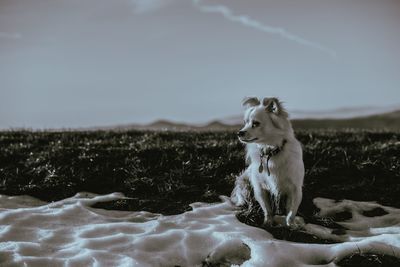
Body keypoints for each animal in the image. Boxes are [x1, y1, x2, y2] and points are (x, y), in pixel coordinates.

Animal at [230, 96, 304, 226]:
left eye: (255, 123)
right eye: (245, 123)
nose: (239, 133)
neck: (270, 151)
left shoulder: (296, 189)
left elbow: (291, 212)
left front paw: (291, 224)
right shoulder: (260, 188)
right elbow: (267, 209)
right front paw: (267, 223)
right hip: (244, 183)